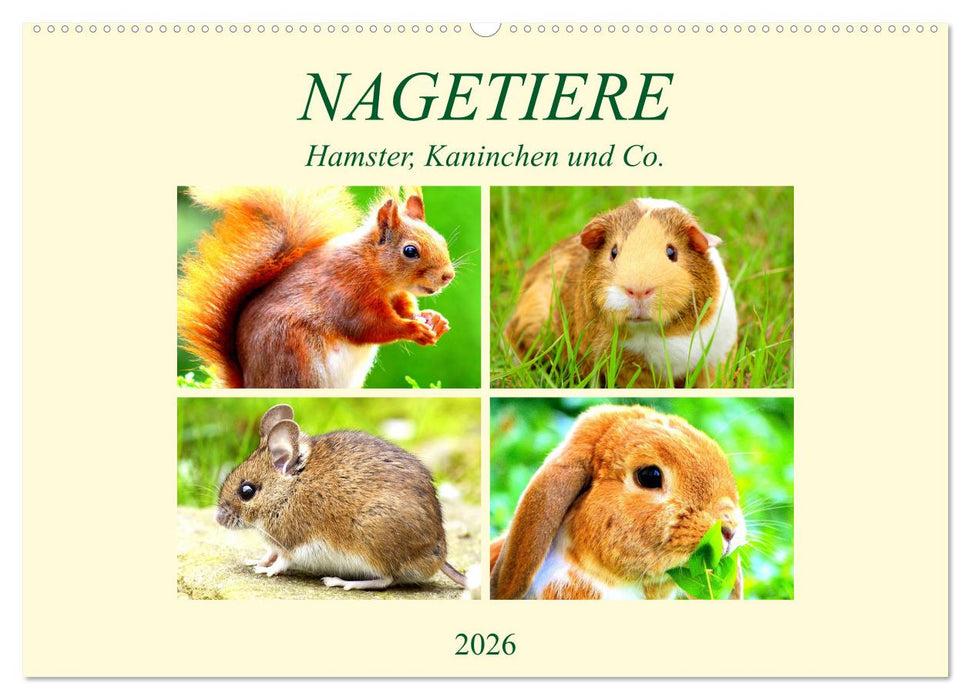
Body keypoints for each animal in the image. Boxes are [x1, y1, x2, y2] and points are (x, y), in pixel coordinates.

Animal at [215, 404, 467, 591]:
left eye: (247, 491)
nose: (218, 519)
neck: (288, 490)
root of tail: (438, 556)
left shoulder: (293, 541)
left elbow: (281, 561)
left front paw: (265, 570)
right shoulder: (275, 541)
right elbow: (270, 552)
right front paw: (256, 561)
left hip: (370, 544)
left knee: (386, 580)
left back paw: (341, 582)